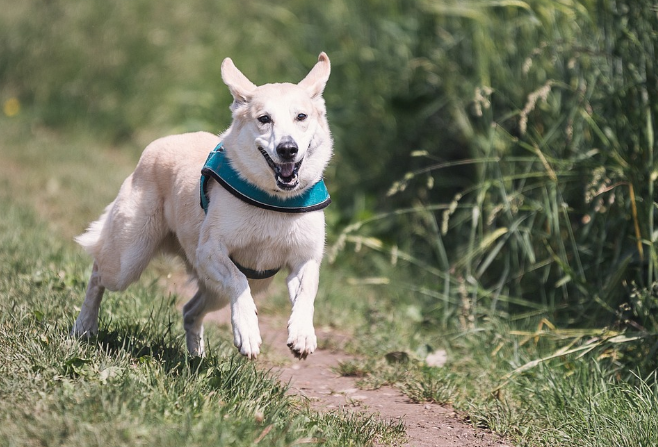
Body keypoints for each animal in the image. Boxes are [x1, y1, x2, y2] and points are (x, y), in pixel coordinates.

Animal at [72, 52, 334, 360]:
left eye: (301, 116)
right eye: (264, 119)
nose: (288, 149)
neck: (274, 201)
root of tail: (158, 144)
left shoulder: (305, 259)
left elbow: (307, 293)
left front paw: (302, 334)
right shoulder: (210, 251)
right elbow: (238, 280)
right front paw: (247, 331)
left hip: (215, 291)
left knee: (189, 311)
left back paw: (196, 356)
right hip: (128, 260)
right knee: (98, 274)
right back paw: (84, 326)